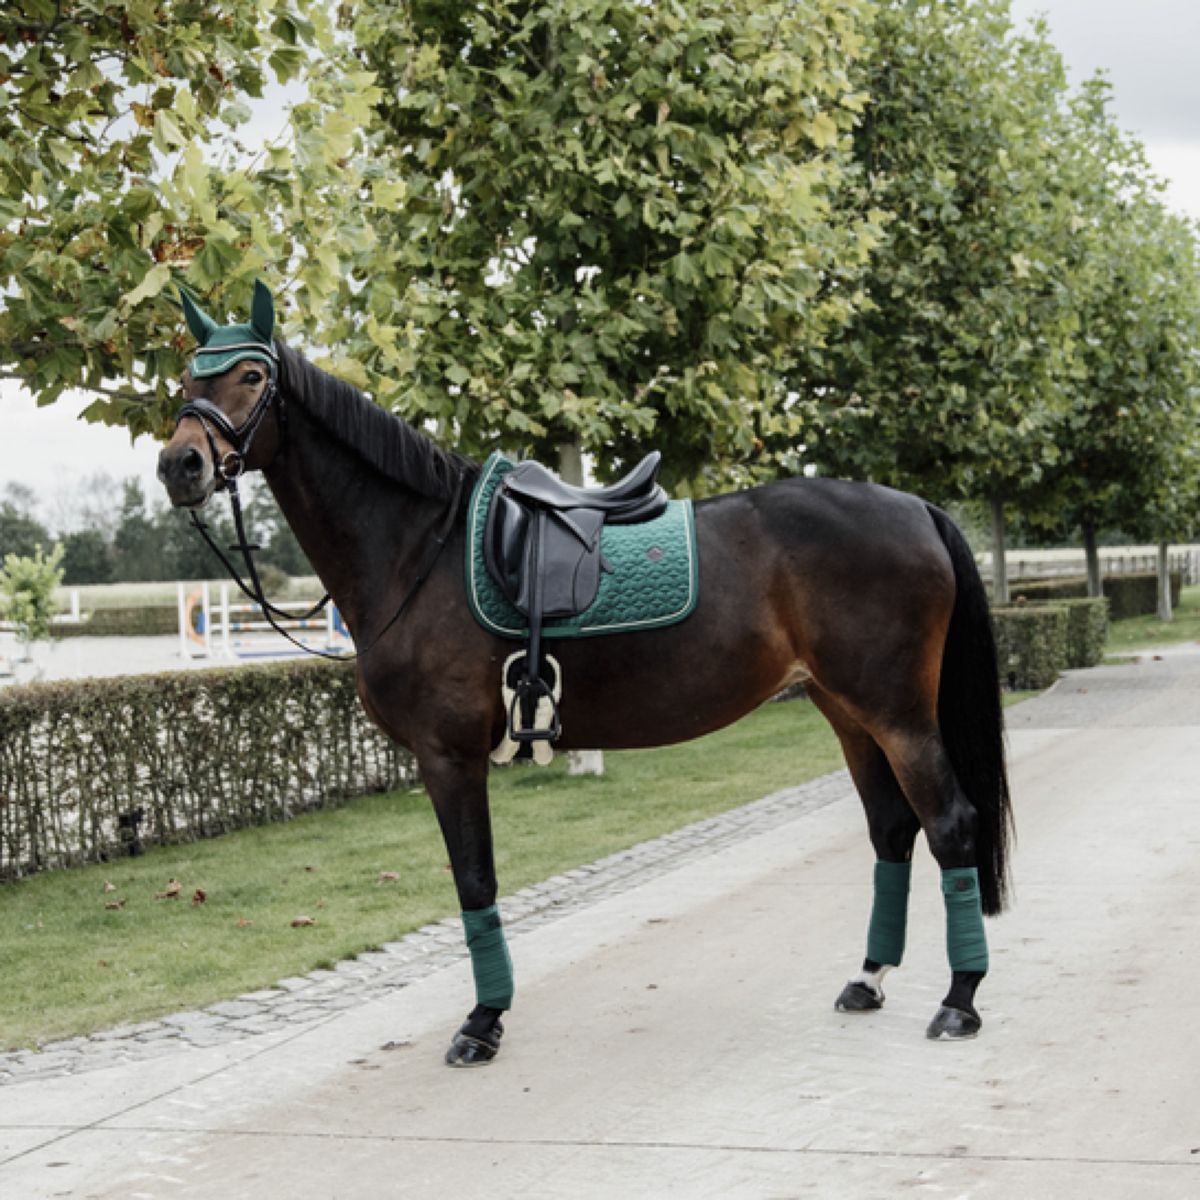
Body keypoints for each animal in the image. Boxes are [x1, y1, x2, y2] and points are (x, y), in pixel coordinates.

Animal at [159, 283, 1012, 1070]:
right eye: (187, 373)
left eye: (248, 374)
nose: (179, 464)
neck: (418, 548)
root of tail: (917, 509)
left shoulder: (448, 754)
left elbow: (475, 883)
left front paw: (482, 1023)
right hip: (846, 710)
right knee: (893, 830)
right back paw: (868, 979)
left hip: (897, 714)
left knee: (950, 826)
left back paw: (960, 1000)